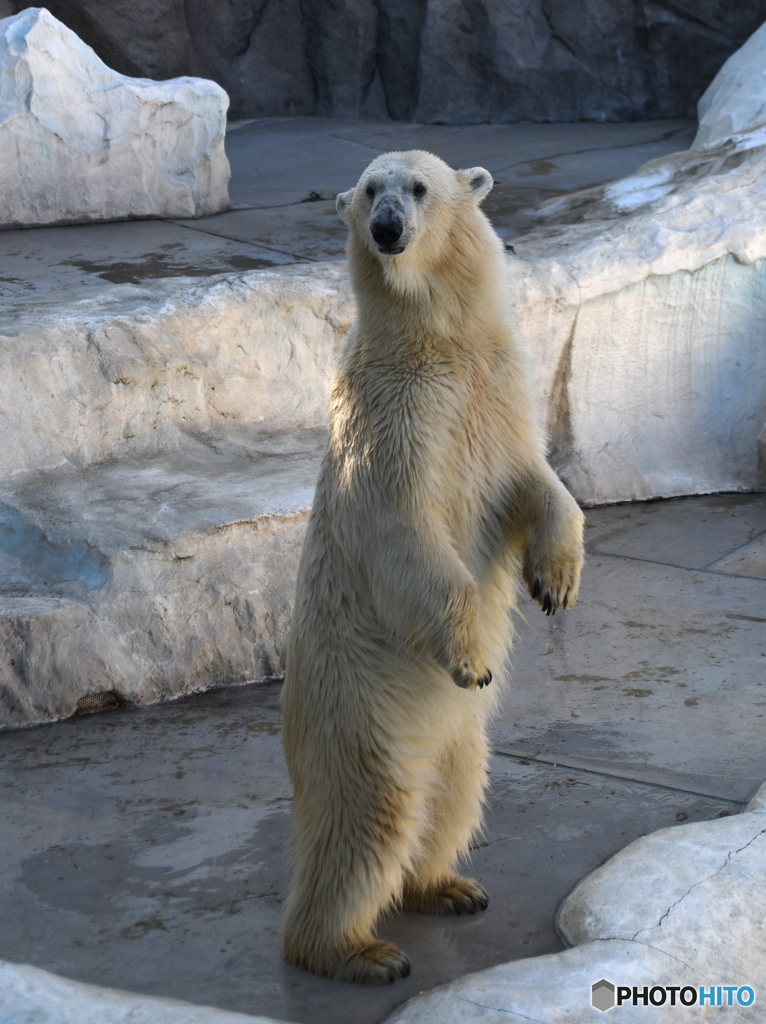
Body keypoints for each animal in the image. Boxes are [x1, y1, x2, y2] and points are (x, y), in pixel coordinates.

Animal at [280, 149, 585, 983]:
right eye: (368, 193)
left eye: (417, 188)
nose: (388, 228)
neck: (437, 344)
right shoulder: (398, 421)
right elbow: (406, 537)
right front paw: (474, 656)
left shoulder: (497, 394)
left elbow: (537, 484)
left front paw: (556, 581)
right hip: (361, 711)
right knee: (369, 817)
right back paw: (356, 950)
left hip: (456, 739)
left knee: (454, 793)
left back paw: (447, 886)